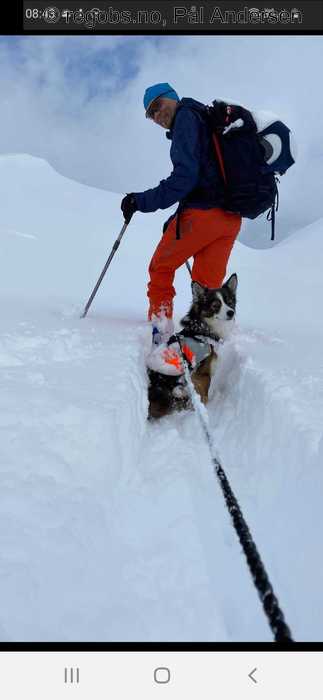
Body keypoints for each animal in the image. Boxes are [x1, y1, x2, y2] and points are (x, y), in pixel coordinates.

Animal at [147, 274, 238, 418]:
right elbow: (204, 393)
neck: (202, 328)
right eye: (215, 305)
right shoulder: (202, 373)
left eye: (229, 302)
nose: (231, 312)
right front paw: (204, 408)